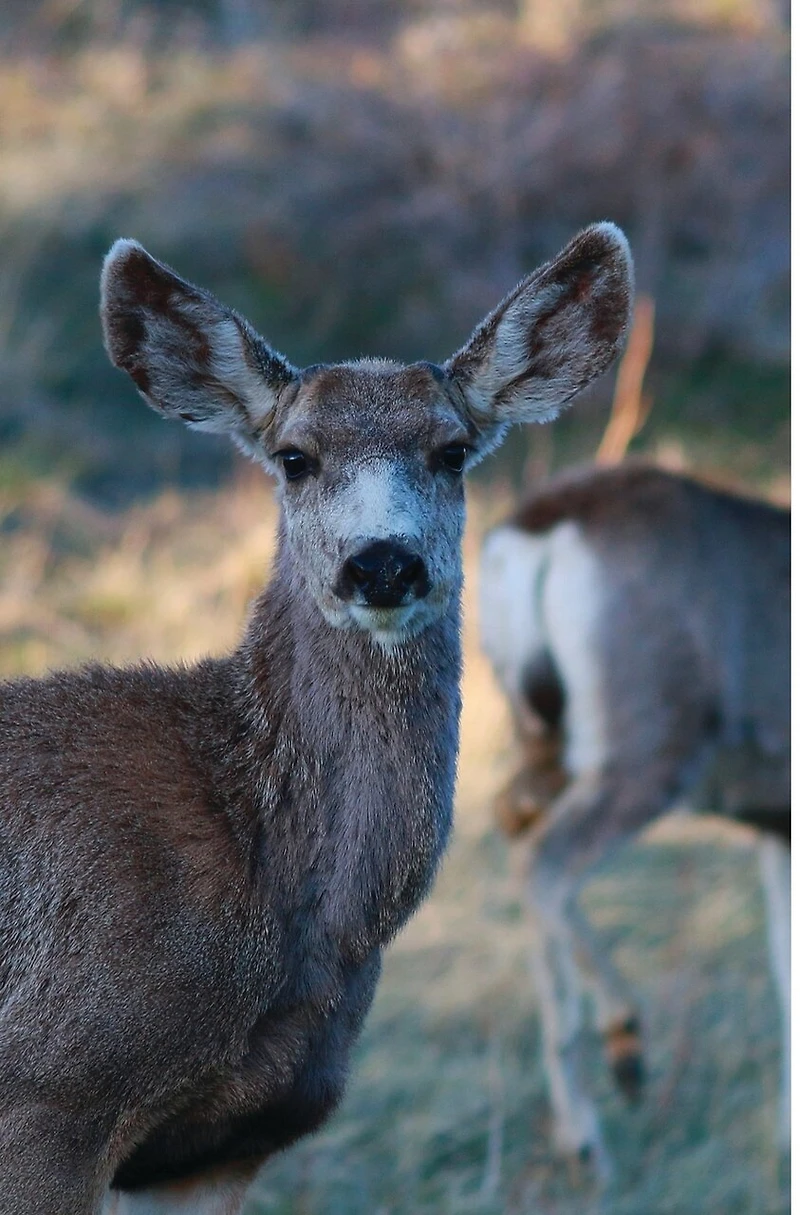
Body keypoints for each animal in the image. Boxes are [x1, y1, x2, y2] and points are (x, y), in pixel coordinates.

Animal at [479, 460, 790, 1175]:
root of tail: (542, 529)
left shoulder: (776, 826)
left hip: (544, 740)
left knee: (514, 830)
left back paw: (590, 1115)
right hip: (649, 741)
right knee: (547, 863)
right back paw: (613, 1066)